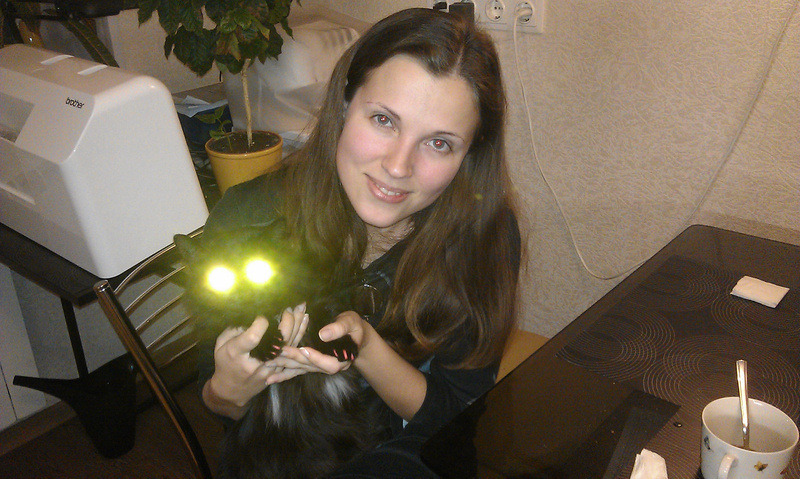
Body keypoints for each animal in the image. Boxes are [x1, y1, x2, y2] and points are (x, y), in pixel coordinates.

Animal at [174, 223, 387, 479]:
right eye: (221, 278)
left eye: (260, 269)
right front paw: (268, 343)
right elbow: (245, 320)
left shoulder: (311, 296)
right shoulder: (216, 324)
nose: (244, 294)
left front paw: (340, 346)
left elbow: (322, 319)